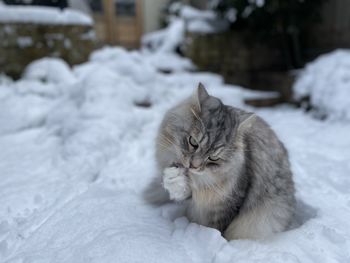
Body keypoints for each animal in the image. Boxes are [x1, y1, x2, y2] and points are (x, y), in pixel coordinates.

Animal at [145, 83, 296, 240]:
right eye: (193, 142)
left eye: (213, 158)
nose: (193, 166)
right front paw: (174, 178)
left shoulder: (227, 203)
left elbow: (215, 226)